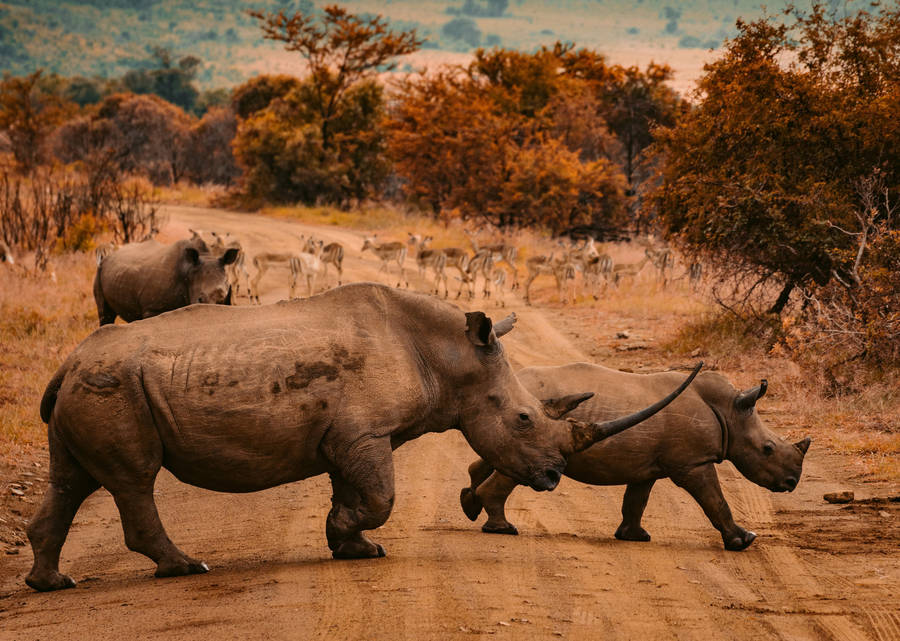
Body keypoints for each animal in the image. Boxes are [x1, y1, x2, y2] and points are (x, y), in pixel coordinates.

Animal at [26, 285, 700, 591]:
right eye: (524, 420)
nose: (554, 478)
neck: (449, 356)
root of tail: (67, 361)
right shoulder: (364, 433)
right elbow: (380, 497)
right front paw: (350, 536)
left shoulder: (352, 435)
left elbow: (354, 490)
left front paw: (350, 546)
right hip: (113, 385)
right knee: (134, 479)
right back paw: (186, 568)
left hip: (91, 384)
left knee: (71, 480)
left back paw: (51, 584)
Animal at [93, 237, 239, 325]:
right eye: (200, 299)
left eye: (224, 298)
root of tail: (109, 256)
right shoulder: (152, 309)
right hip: (99, 271)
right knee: (105, 315)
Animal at [460, 363, 810, 551]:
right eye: (767, 449)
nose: (792, 482)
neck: (729, 411)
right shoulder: (693, 463)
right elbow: (715, 500)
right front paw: (744, 540)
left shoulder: (647, 466)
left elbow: (636, 501)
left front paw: (634, 537)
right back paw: (503, 528)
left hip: (516, 418)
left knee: (495, 456)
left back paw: (471, 505)